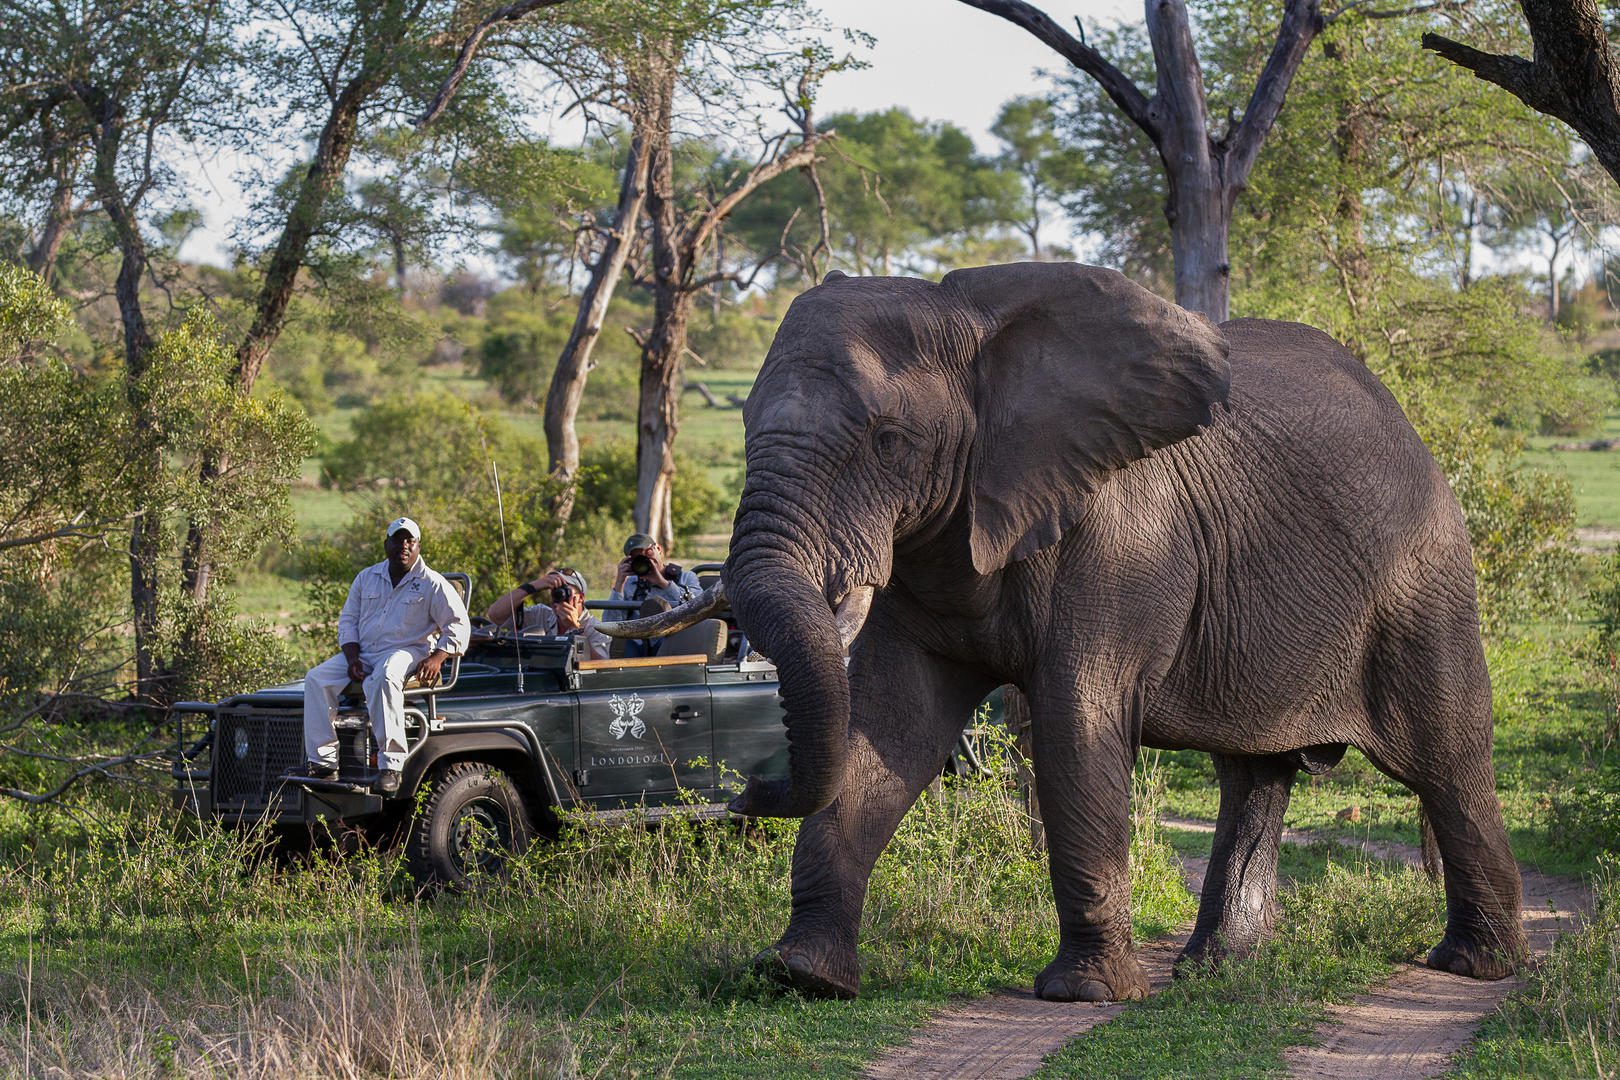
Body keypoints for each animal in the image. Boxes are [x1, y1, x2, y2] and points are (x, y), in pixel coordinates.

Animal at [612, 262, 1522, 1003]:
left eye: (889, 441)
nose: (744, 791)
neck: (973, 324)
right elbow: (888, 729)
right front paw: (800, 975)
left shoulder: (1119, 539)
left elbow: (1073, 724)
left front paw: (1082, 995)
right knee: (1254, 774)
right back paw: (1214, 971)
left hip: (1423, 574)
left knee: (1446, 758)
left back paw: (1476, 968)